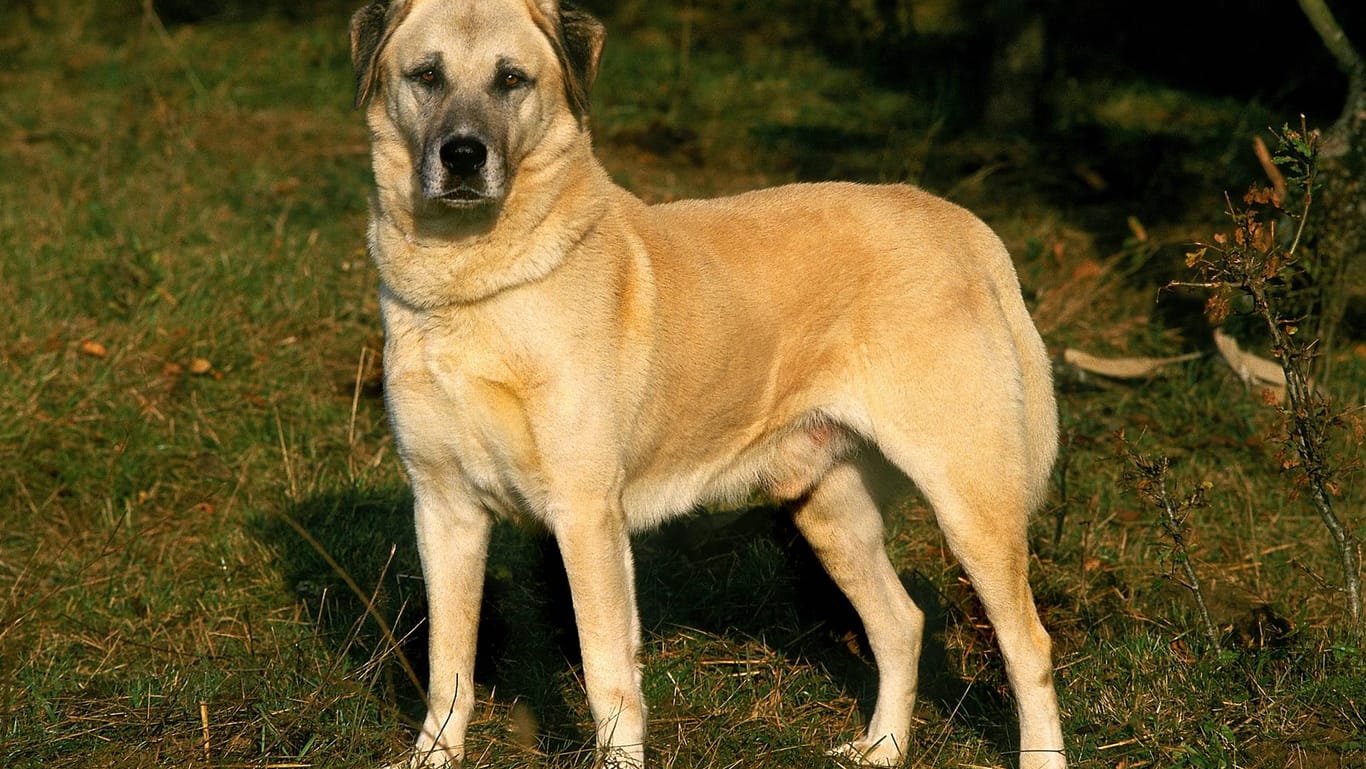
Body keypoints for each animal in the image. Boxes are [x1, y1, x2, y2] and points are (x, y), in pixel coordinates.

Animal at [349, 3, 1065, 764]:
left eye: (511, 79)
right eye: (427, 75)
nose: (462, 156)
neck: (470, 286)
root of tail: (961, 225)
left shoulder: (586, 514)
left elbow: (607, 673)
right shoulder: (444, 508)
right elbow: (448, 662)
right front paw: (433, 756)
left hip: (970, 501)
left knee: (1028, 645)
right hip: (829, 506)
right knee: (901, 622)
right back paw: (882, 748)